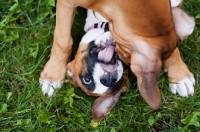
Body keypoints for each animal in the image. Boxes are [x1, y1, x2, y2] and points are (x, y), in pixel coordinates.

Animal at [39, 0, 195, 121]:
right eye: (87, 80)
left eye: (116, 82)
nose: (108, 79)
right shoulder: (67, 4)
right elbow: (62, 40)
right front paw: (53, 76)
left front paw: (179, 75)